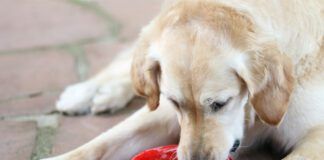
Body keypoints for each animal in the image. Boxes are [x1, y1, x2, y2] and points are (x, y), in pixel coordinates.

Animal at [43, 0, 324, 160]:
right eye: (175, 102)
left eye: (221, 103)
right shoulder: (164, 111)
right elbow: (97, 144)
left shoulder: (316, 135)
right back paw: (91, 90)